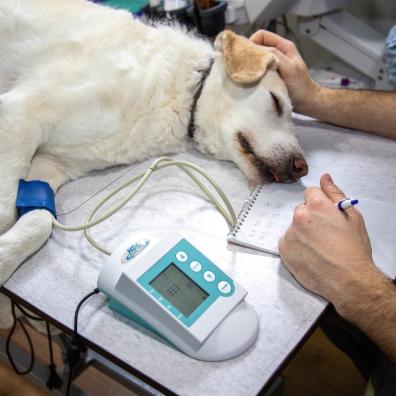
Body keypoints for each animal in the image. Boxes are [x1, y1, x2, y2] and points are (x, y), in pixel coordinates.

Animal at [0, 0, 310, 306]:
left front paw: (5, 255)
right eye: (276, 102)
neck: (181, 92)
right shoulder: (20, 112)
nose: (302, 168)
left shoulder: (50, 164)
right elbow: (6, 210)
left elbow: (39, 221)